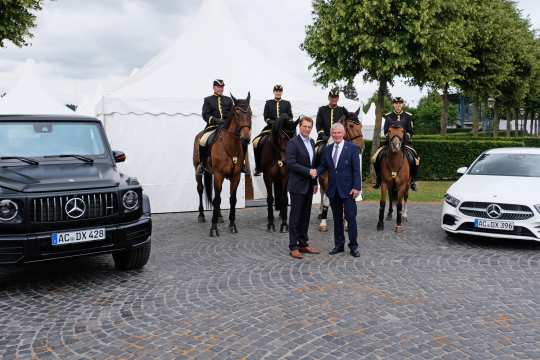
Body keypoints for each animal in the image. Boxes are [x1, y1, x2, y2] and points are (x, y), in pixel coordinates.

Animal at [194, 93, 253, 236]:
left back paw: (220, 216)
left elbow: (232, 199)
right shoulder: (219, 175)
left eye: (250, 113)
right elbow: (216, 199)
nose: (246, 138)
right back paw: (201, 215)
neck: (230, 146)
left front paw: (232, 225)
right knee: (201, 189)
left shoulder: (236, 176)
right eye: (236, 113)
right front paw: (213, 228)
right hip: (198, 172)